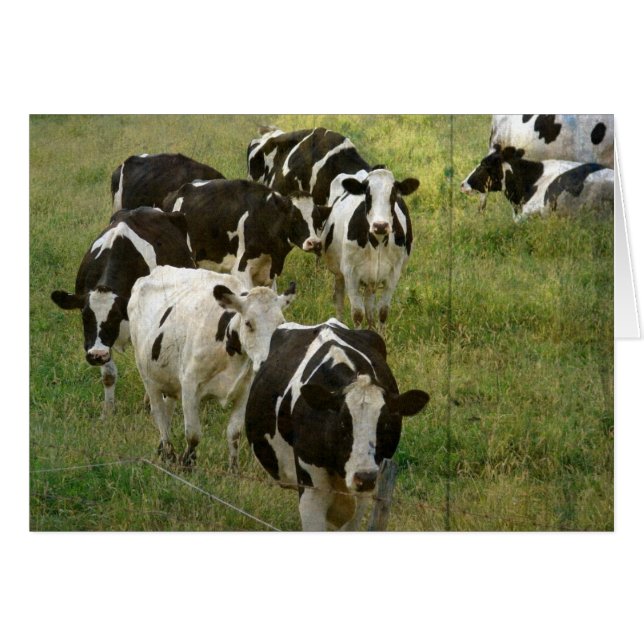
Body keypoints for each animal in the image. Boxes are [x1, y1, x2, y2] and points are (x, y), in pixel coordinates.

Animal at [51, 208, 196, 416]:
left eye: (115, 317)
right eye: (85, 316)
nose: (96, 355)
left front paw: (153, 405)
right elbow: (109, 374)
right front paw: (108, 412)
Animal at [128, 265, 296, 467]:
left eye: (281, 323)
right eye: (249, 323)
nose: (267, 360)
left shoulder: (245, 391)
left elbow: (234, 433)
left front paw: (233, 468)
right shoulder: (190, 386)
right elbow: (193, 435)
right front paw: (187, 464)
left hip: (169, 380)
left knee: (167, 411)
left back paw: (164, 451)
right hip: (148, 376)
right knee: (159, 414)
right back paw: (168, 453)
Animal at [321, 168, 420, 327]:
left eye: (393, 195)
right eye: (367, 195)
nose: (380, 225)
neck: (377, 243)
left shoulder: (394, 273)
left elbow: (382, 312)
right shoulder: (350, 273)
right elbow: (357, 314)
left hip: (371, 278)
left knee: (369, 307)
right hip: (339, 273)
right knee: (339, 300)